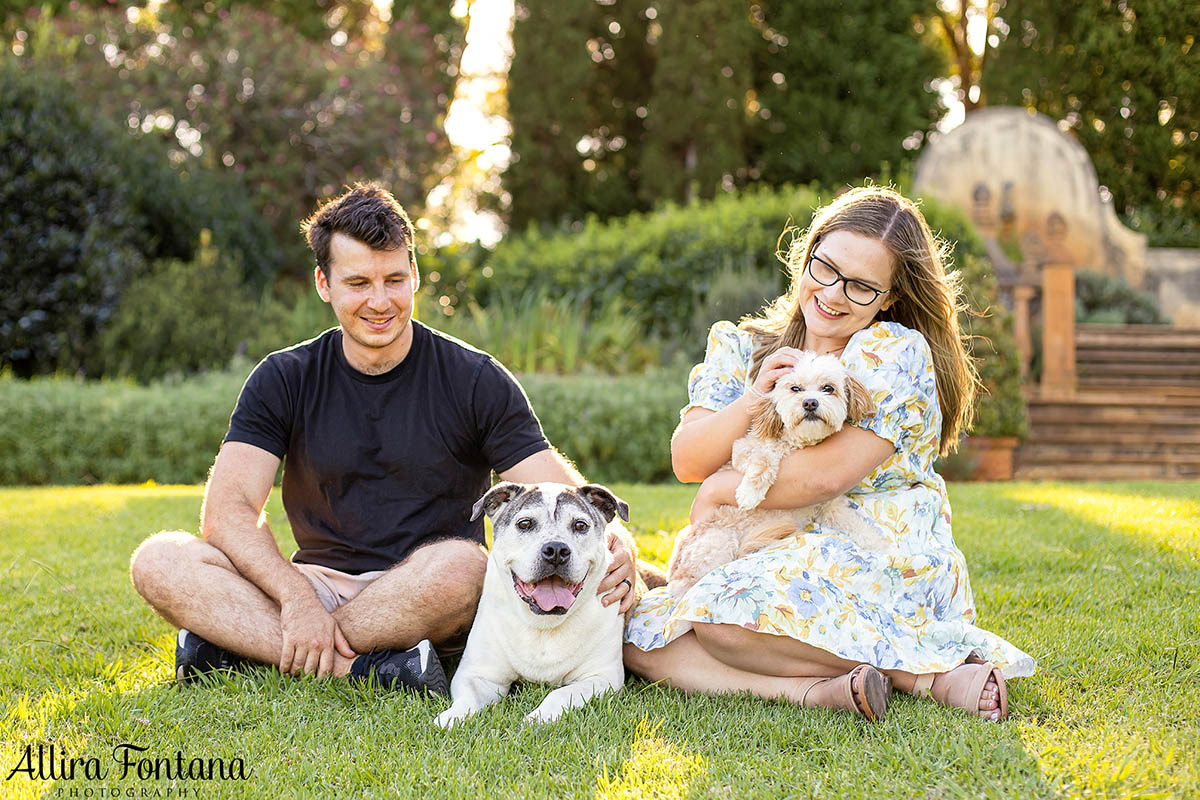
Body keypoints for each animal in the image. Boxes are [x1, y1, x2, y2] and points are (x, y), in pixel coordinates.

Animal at [439, 479, 628, 729]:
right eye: (525, 524)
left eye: (580, 525)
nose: (556, 550)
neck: (543, 624)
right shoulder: (478, 674)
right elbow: (468, 699)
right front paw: (452, 717)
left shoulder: (602, 678)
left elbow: (560, 694)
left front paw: (538, 718)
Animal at [667, 352, 883, 597]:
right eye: (795, 389)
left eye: (828, 388)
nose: (810, 402)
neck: (799, 445)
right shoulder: (741, 451)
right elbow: (765, 458)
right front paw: (749, 494)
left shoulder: (830, 507)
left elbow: (856, 525)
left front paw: (880, 544)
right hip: (717, 540)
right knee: (688, 584)